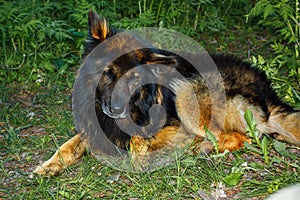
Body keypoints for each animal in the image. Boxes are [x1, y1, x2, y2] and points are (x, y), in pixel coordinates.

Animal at [33, 10, 300, 175]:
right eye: (107, 72)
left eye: (134, 78)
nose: (116, 110)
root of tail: (267, 90)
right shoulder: (96, 124)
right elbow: (69, 144)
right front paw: (48, 166)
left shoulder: (167, 125)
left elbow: (137, 148)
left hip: (187, 92)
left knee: (236, 137)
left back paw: (197, 148)